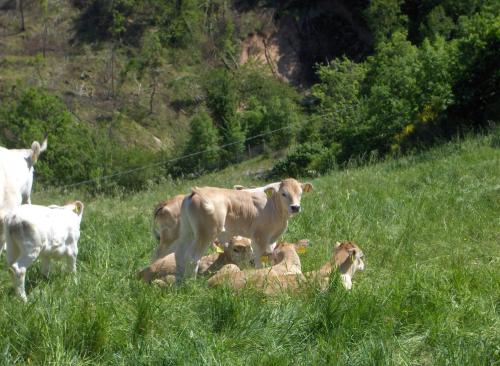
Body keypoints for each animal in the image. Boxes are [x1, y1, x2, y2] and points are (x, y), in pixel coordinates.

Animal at [173, 179, 312, 282]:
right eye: (283, 193)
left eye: (300, 193)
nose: (295, 207)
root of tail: (197, 191)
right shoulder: (260, 237)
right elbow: (260, 258)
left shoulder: (270, 239)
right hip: (206, 233)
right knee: (192, 257)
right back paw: (191, 283)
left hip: (187, 232)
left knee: (180, 255)